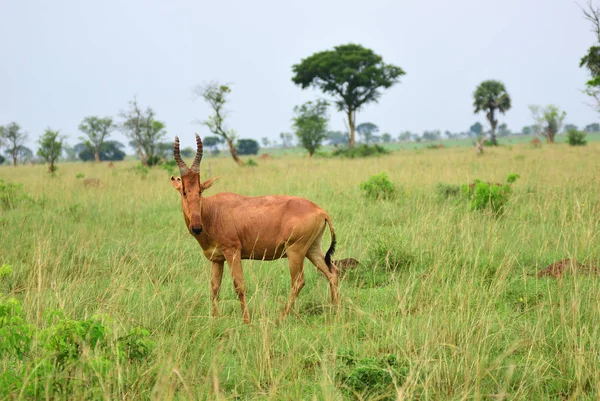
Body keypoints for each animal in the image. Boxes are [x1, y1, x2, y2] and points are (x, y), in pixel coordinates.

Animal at [171, 134, 340, 322]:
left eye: (199, 191)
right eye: (184, 191)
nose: (197, 227)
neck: (213, 211)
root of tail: (321, 211)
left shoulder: (233, 252)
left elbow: (239, 286)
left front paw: (246, 320)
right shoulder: (217, 259)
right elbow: (215, 288)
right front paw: (215, 319)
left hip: (295, 251)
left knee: (299, 281)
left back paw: (282, 316)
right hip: (312, 248)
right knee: (332, 272)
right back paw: (335, 311)